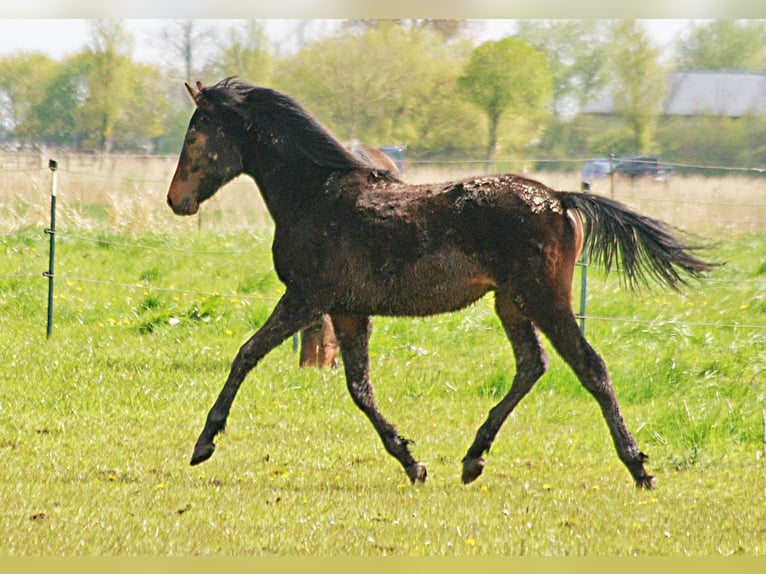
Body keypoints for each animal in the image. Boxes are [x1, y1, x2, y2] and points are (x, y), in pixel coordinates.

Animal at [168, 79, 720, 488]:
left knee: (590, 366)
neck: (317, 196)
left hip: (543, 299)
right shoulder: (347, 309)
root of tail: (561, 200)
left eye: (194, 137)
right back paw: (473, 458)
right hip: (511, 303)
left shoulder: (306, 298)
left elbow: (246, 354)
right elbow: (359, 388)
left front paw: (204, 443)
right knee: (532, 365)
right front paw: (412, 462)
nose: (177, 201)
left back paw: (638, 467)